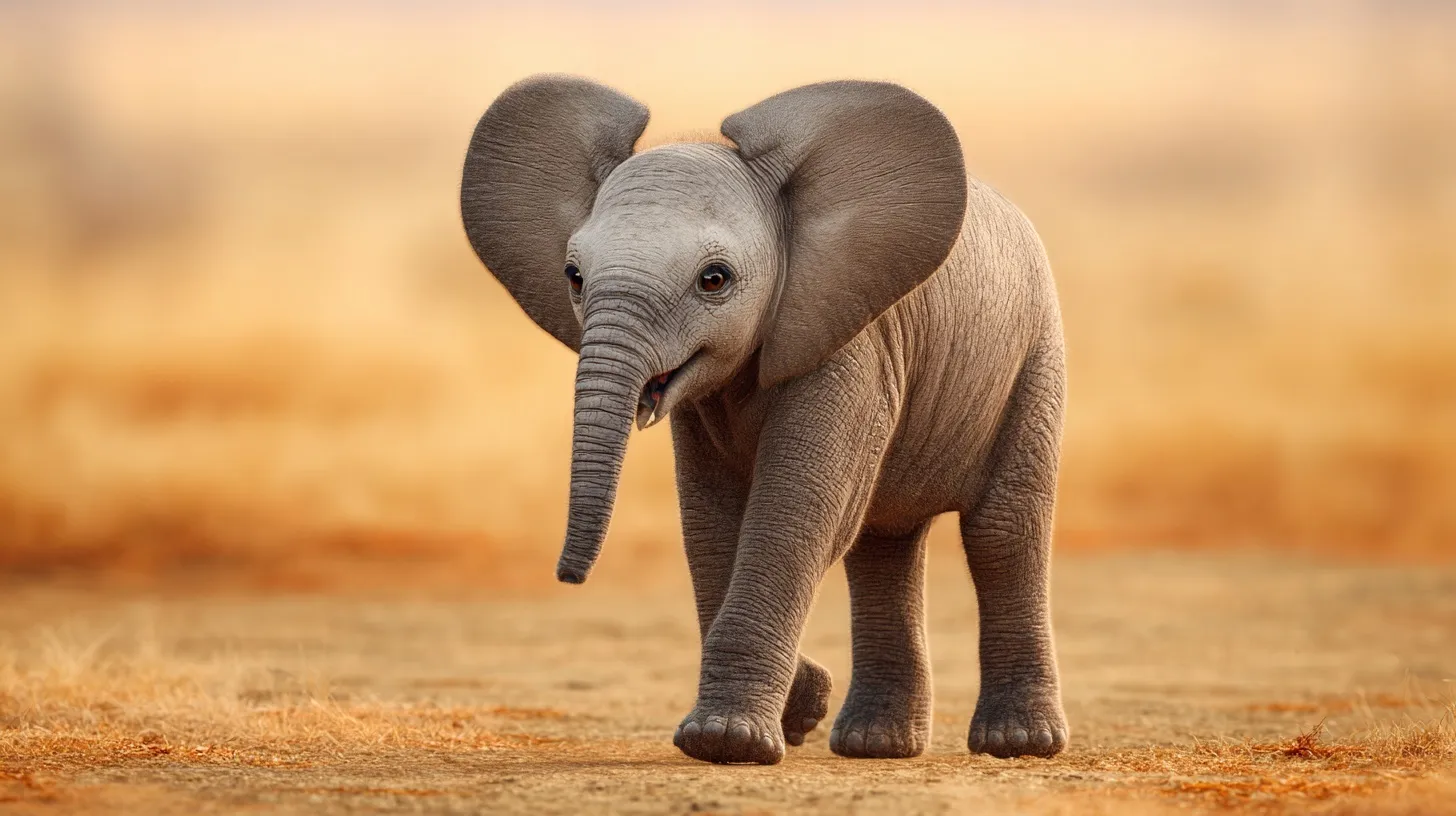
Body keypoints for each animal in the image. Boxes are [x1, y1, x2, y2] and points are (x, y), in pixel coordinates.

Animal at [460, 75, 1068, 765]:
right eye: (574, 276)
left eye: (714, 280)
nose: (567, 577)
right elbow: (711, 521)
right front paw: (800, 706)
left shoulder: (851, 340)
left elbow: (795, 509)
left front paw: (726, 743)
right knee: (883, 544)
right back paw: (874, 745)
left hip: (1034, 356)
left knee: (1002, 530)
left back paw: (1017, 744)